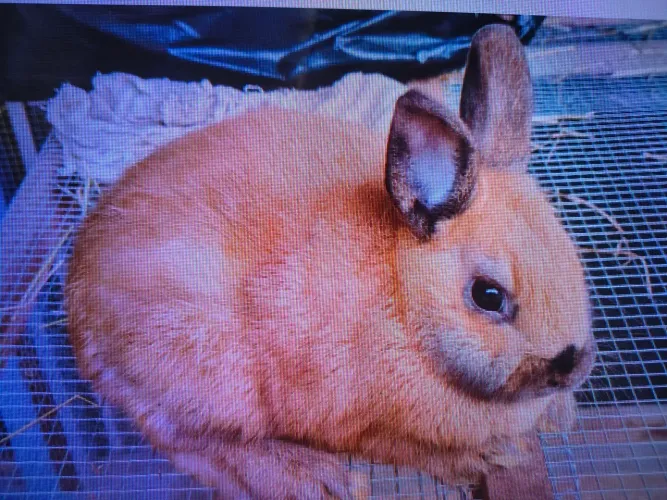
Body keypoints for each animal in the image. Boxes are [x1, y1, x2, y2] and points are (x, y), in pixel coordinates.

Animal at [65, 24, 596, 500]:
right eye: (488, 295)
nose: (573, 371)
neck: (404, 302)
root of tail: (77, 305)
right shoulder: (366, 428)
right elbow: (412, 450)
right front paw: (491, 456)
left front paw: (560, 414)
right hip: (203, 369)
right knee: (189, 442)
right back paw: (314, 479)